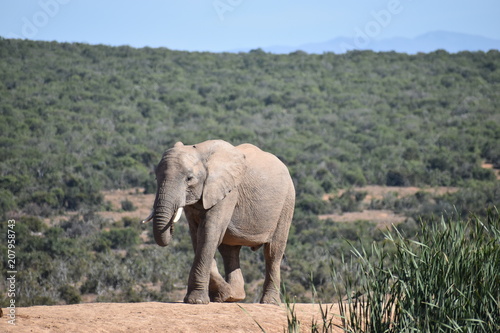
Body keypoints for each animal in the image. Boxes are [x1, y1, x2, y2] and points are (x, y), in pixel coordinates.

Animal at [141, 139, 294, 302]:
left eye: (189, 178)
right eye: (156, 178)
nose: (171, 227)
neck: (200, 152)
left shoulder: (228, 192)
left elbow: (209, 233)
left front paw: (197, 301)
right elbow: (198, 236)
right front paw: (223, 294)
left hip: (287, 201)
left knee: (272, 252)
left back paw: (268, 302)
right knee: (229, 251)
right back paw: (235, 296)